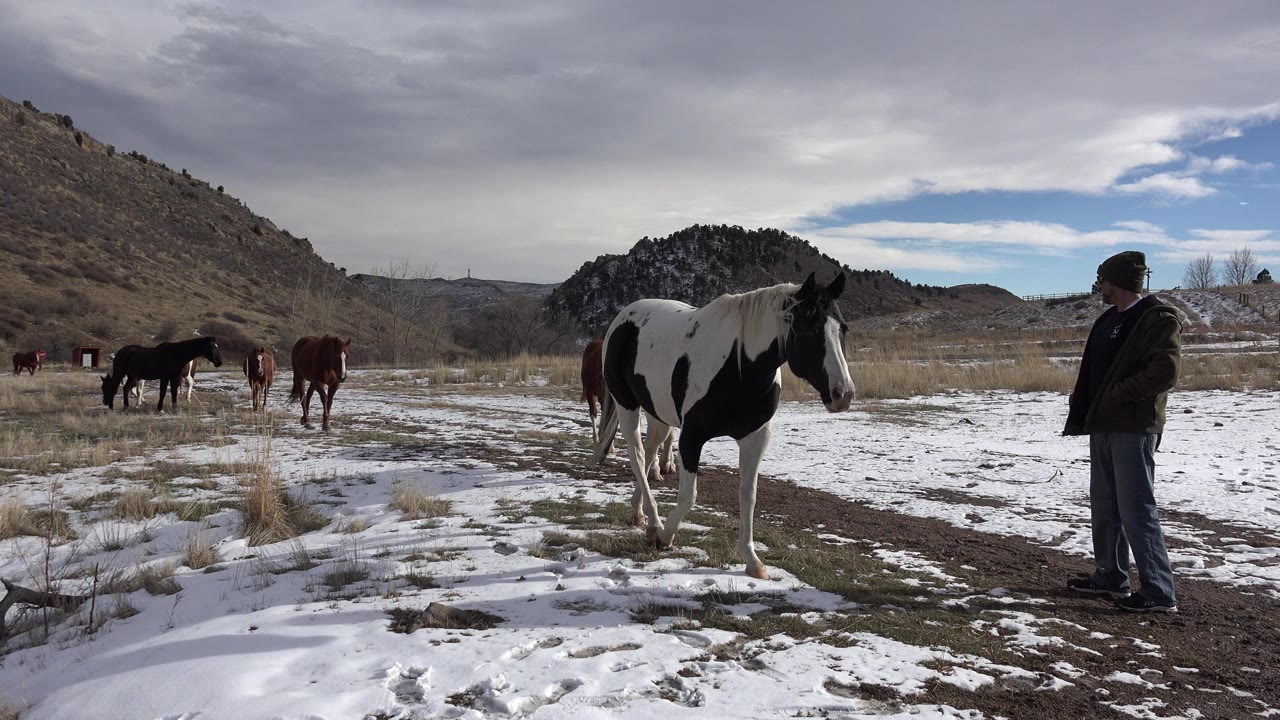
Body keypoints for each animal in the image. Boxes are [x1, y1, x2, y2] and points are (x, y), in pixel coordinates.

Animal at [596, 272, 853, 580]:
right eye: (810, 329)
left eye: (843, 329)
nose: (843, 394)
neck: (739, 364)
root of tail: (623, 317)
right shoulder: (691, 437)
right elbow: (688, 497)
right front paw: (665, 537)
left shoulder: (755, 438)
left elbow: (748, 496)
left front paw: (753, 560)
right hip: (627, 406)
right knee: (636, 454)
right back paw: (655, 523)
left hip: (658, 415)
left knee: (648, 453)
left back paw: (640, 514)